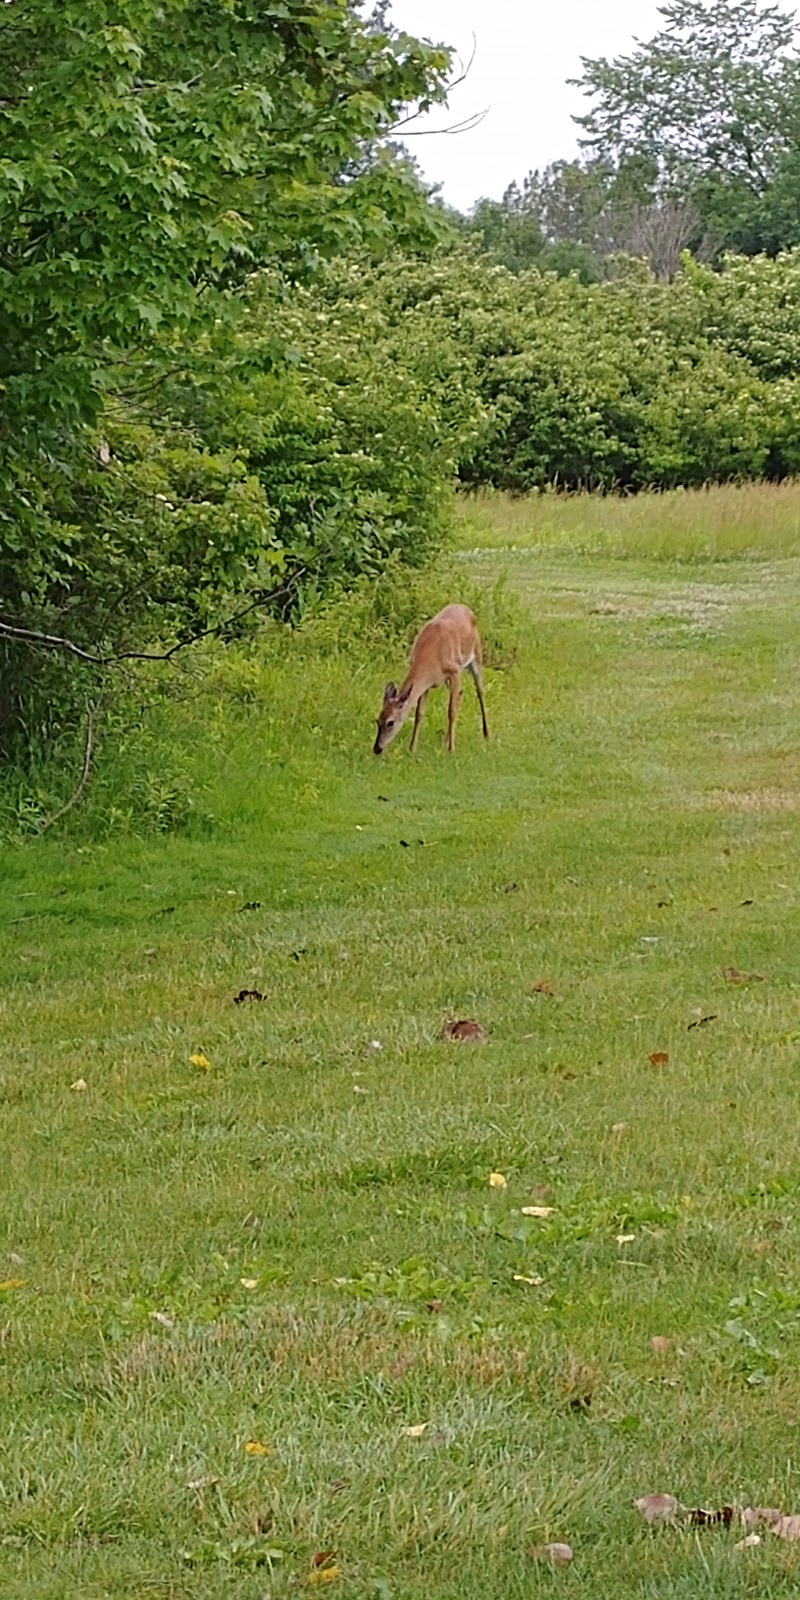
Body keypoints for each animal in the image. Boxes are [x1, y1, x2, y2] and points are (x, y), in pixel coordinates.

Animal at [372, 604, 489, 755]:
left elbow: (451, 711)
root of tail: (466, 608)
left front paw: (451, 750)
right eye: (378, 720)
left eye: (390, 722)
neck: (432, 656)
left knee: (480, 691)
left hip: (476, 656)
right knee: (461, 692)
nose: (377, 748)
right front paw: (412, 748)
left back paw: (486, 735)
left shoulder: (455, 670)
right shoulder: (426, 685)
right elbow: (419, 713)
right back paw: (446, 739)